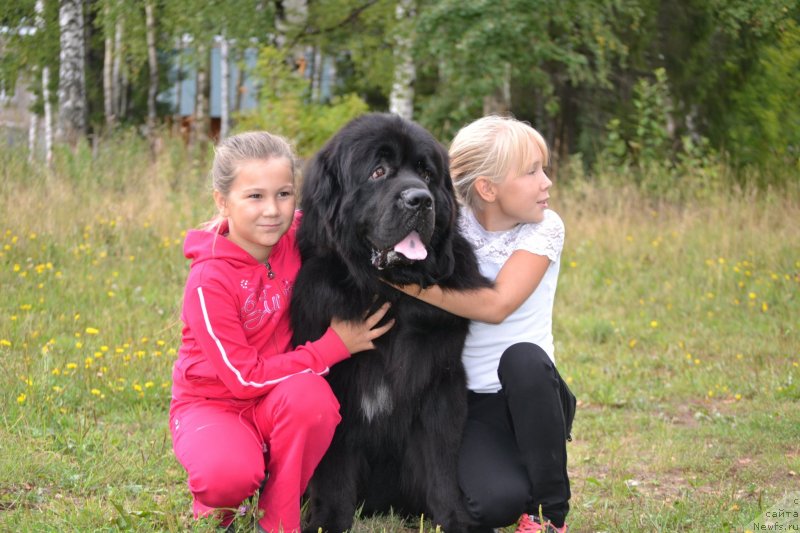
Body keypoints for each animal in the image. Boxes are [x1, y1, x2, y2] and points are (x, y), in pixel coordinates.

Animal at [290, 113, 488, 532]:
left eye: (427, 174)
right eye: (378, 171)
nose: (420, 200)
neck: (389, 295)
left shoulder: (440, 383)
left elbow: (442, 463)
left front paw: (456, 520)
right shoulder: (338, 388)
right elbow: (332, 471)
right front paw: (327, 521)